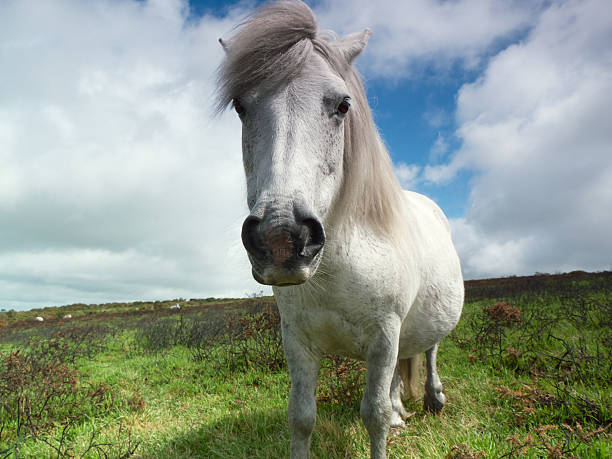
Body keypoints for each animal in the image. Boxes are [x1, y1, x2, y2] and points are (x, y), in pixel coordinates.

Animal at [218, 1, 462, 458]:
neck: (337, 271)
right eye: (240, 106)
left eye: (343, 105)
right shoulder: (297, 342)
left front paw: (392, 419)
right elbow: (301, 418)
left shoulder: (383, 336)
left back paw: (434, 398)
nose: (281, 237)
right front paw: (392, 413)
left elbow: (373, 416)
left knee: (431, 349)